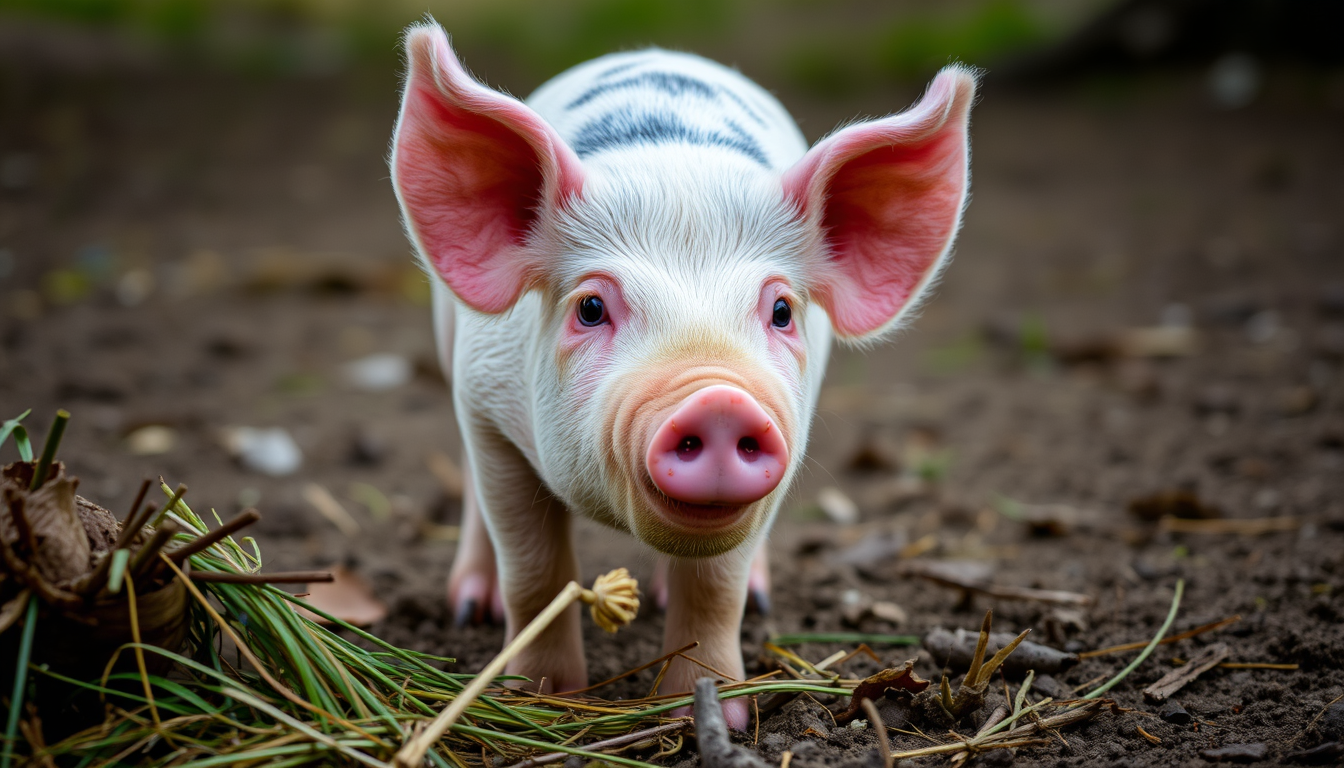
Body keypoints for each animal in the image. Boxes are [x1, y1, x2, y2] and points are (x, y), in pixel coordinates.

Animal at [390, 21, 974, 728]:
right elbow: (532, 566)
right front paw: (543, 699)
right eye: (591, 307)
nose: (719, 399)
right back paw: (469, 607)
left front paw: (711, 715)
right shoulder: (487, 405)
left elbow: (716, 590)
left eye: (782, 310)